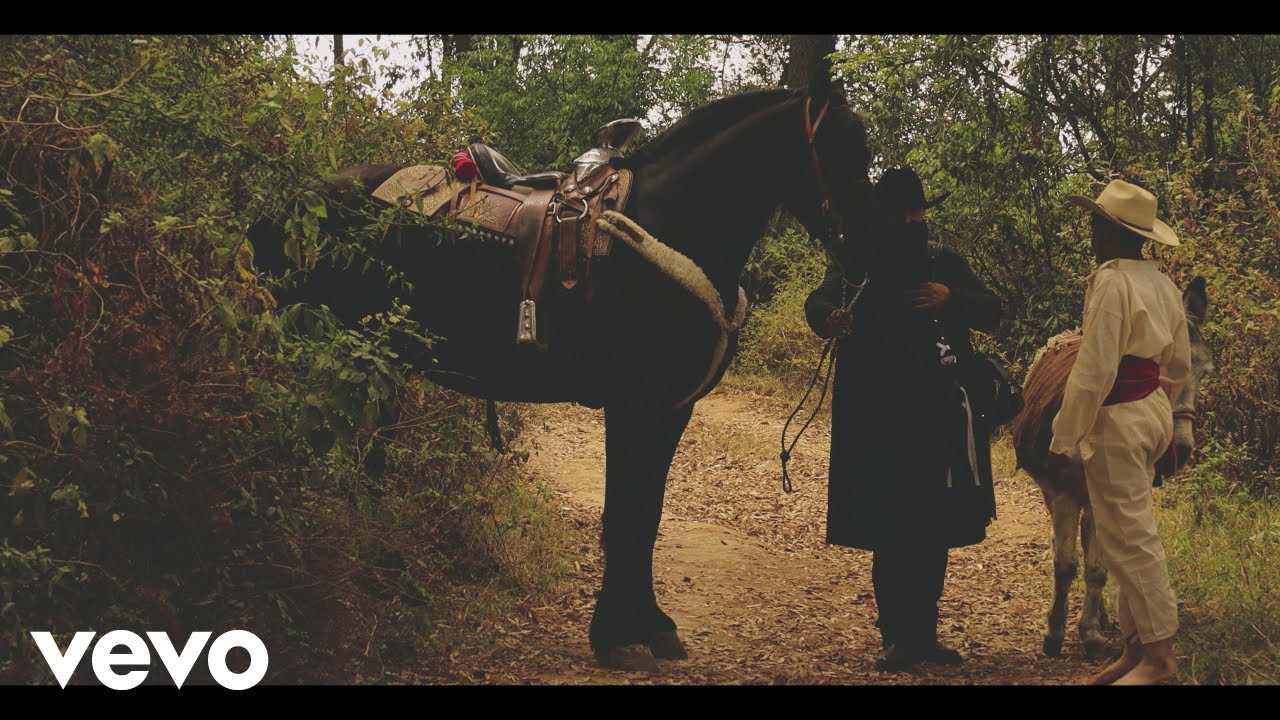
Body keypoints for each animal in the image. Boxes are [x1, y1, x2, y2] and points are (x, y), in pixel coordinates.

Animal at [249, 75, 875, 672]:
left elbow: (647, 516)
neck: (669, 230)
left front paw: (652, 626)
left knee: (366, 465)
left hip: (381, 365)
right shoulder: (634, 404)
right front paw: (618, 638)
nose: (861, 261)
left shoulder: (672, 410)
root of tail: (294, 197)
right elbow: (625, 514)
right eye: (837, 149)